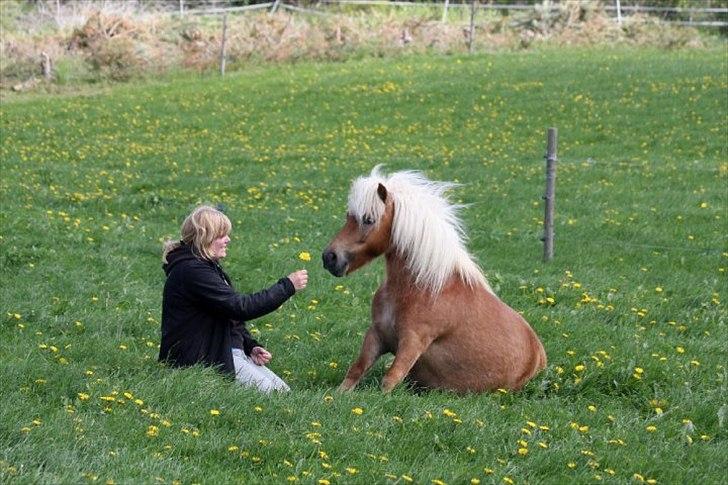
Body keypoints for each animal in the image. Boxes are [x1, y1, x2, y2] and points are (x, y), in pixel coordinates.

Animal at [322, 166, 544, 394]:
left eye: (368, 220)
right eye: (348, 216)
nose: (330, 258)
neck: (422, 288)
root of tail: (538, 353)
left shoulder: (413, 343)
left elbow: (389, 380)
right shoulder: (376, 334)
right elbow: (355, 370)